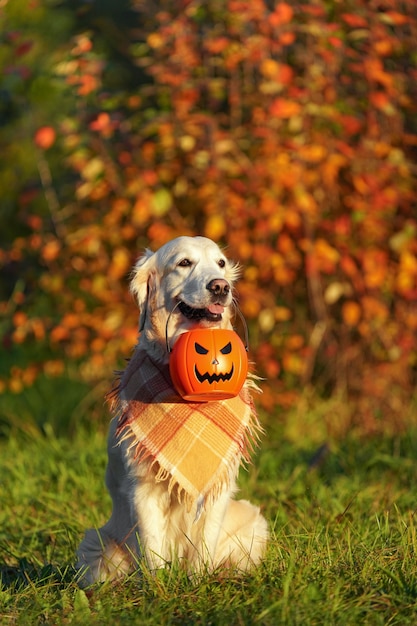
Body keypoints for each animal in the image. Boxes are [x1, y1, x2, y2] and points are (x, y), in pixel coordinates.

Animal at [76, 235, 268, 584]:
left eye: (220, 263)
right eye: (184, 263)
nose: (220, 286)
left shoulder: (217, 489)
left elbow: (203, 546)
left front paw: (198, 582)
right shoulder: (143, 488)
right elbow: (153, 549)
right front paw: (159, 587)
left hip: (252, 520)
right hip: (96, 543)